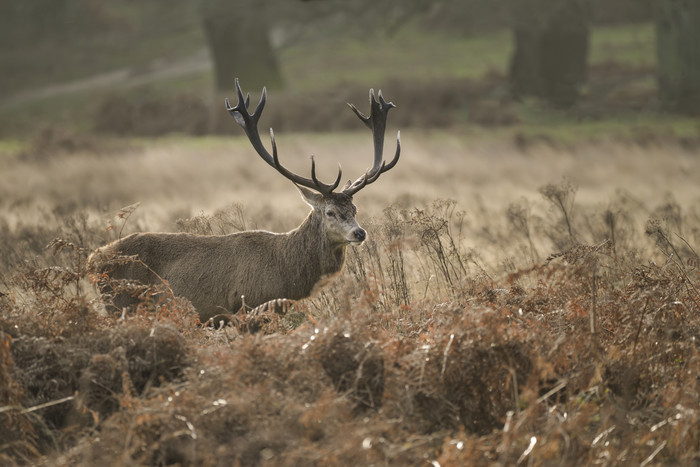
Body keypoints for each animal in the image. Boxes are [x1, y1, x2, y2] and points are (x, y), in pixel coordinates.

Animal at [89, 78, 400, 324]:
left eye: (354, 208)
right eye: (330, 212)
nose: (359, 233)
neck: (286, 276)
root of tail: (93, 259)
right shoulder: (246, 307)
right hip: (121, 304)